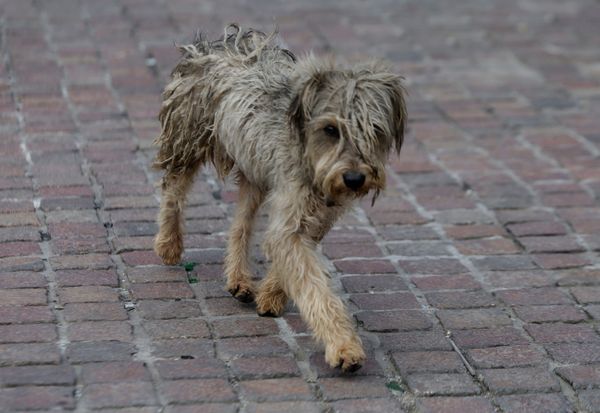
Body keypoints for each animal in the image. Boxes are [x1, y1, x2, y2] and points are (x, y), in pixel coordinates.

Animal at [152, 23, 406, 370]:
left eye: (374, 130)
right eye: (330, 129)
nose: (354, 179)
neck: (310, 159)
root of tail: (224, 40)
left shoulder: (315, 219)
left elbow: (290, 263)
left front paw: (271, 295)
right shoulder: (292, 218)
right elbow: (314, 287)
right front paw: (343, 346)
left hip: (254, 173)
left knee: (241, 224)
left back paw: (240, 278)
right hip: (187, 139)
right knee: (173, 192)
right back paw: (168, 244)